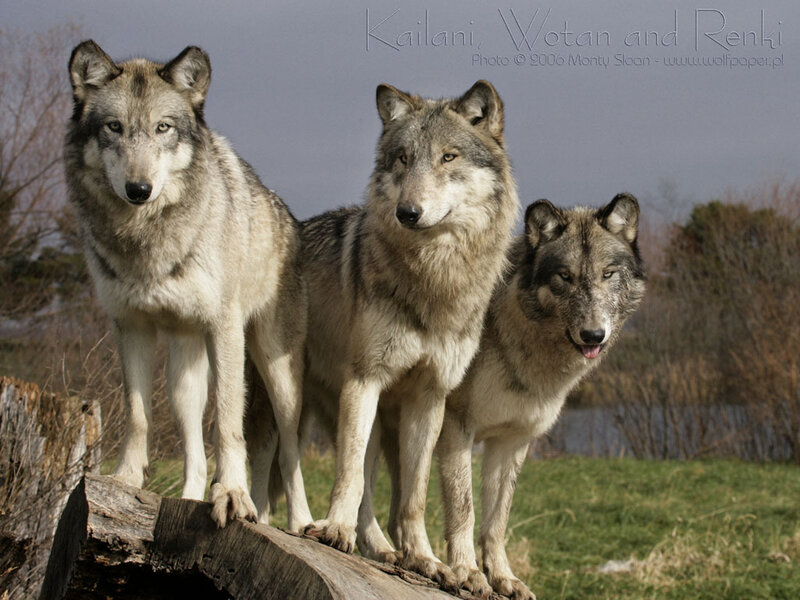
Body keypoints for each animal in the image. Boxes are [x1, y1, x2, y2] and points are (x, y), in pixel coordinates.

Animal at [65, 40, 313, 530]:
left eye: (163, 128)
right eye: (114, 127)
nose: (138, 189)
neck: (146, 238)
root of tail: (288, 216)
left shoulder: (225, 329)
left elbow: (227, 424)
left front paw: (233, 494)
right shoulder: (131, 327)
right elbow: (138, 415)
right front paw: (124, 481)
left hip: (277, 377)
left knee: (290, 453)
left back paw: (301, 524)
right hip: (183, 373)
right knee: (194, 450)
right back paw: (191, 498)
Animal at [276, 81, 519, 583]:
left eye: (448, 157)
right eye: (403, 158)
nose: (408, 212)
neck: (434, 278)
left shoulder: (430, 398)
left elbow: (414, 495)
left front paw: (425, 559)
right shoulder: (365, 378)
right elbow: (348, 476)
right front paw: (335, 531)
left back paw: (384, 550)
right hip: (292, 400)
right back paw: (302, 524)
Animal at [436, 194, 646, 599]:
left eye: (607, 274)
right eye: (565, 277)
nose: (593, 335)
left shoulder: (512, 441)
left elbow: (497, 520)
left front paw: (503, 578)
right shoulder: (456, 428)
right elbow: (464, 508)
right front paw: (468, 572)